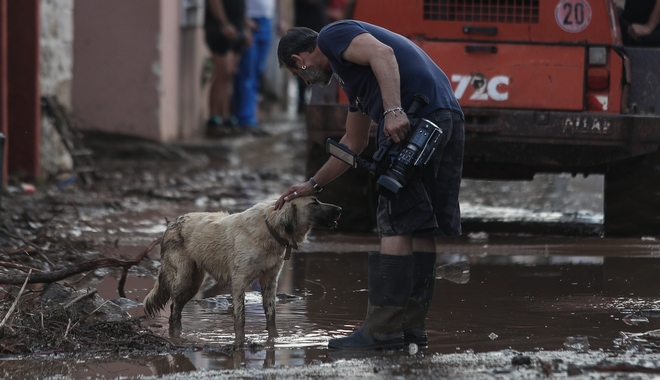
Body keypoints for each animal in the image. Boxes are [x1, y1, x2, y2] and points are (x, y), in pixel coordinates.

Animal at [143, 196, 340, 344]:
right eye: (314, 203)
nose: (339, 208)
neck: (270, 230)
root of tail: (172, 223)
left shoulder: (270, 281)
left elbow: (271, 317)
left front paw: (274, 340)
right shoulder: (239, 281)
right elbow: (240, 318)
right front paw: (241, 343)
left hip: (195, 283)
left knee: (176, 310)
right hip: (183, 278)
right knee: (174, 311)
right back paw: (177, 337)